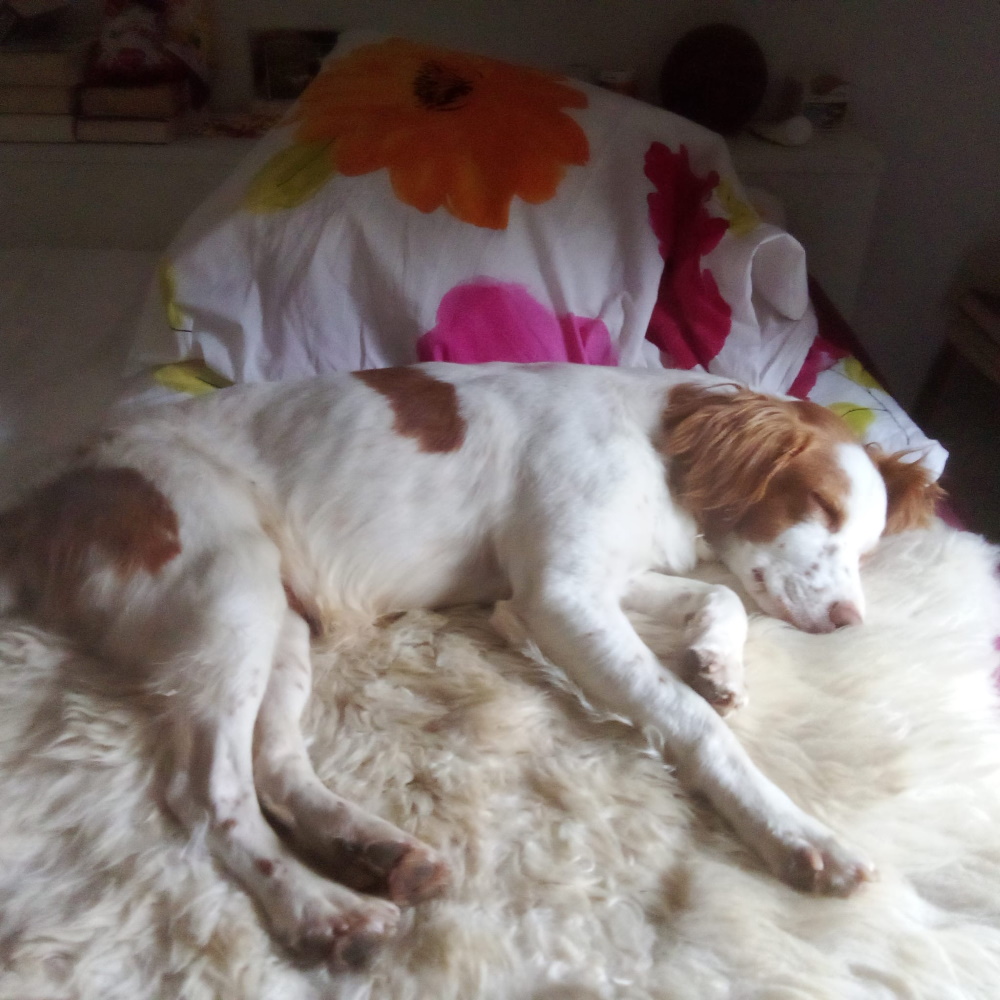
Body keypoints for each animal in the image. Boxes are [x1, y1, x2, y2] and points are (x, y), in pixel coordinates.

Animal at [0, 362, 940, 967]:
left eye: (867, 546)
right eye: (818, 506)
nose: (847, 622)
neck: (656, 442)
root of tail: (51, 497)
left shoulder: (543, 596)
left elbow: (724, 600)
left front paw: (716, 661)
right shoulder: (562, 595)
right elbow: (691, 721)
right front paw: (793, 832)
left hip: (279, 620)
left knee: (274, 762)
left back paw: (373, 848)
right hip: (226, 591)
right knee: (208, 791)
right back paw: (323, 908)